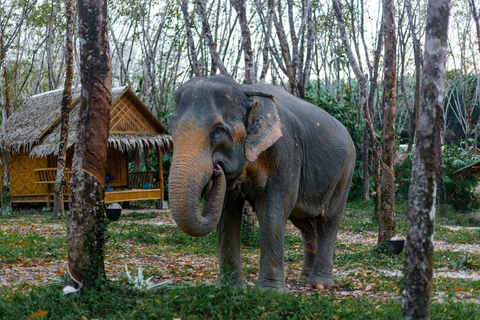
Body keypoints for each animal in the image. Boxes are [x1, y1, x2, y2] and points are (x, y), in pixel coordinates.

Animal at [169, 75, 356, 290]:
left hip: (345, 172)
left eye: (218, 130)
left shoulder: (286, 152)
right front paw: (230, 288)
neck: (245, 91)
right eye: (171, 129)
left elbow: (273, 208)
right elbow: (227, 212)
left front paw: (269, 291)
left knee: (328, 220)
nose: (216, 168)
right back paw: (305, 278)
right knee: (306, 224)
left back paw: (318, 285)